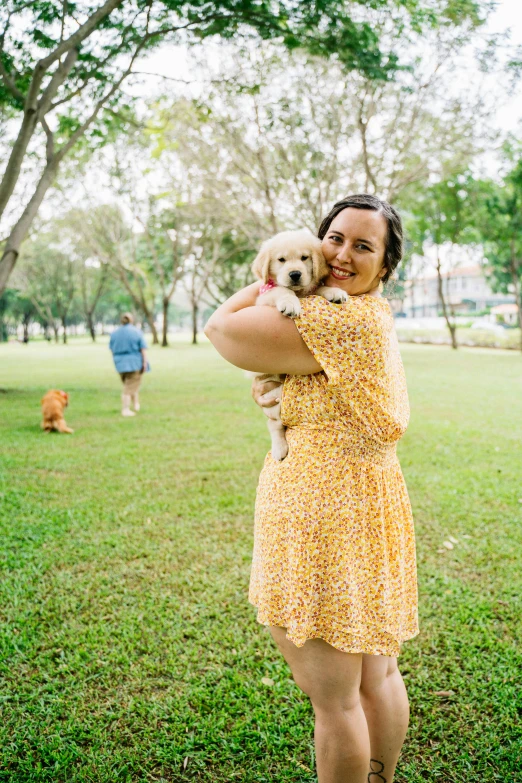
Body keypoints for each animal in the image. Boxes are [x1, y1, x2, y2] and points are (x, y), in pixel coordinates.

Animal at [248, 228, 346, 460]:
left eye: (304, 258)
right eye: (281, 260)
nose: (295, 274)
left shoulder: (310, 288)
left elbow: (318, 288)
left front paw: (335, 292)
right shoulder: (264, 297)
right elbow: (284, 291)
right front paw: (290, 303)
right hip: (274, 394)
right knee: (274, 424)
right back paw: (280, 449)